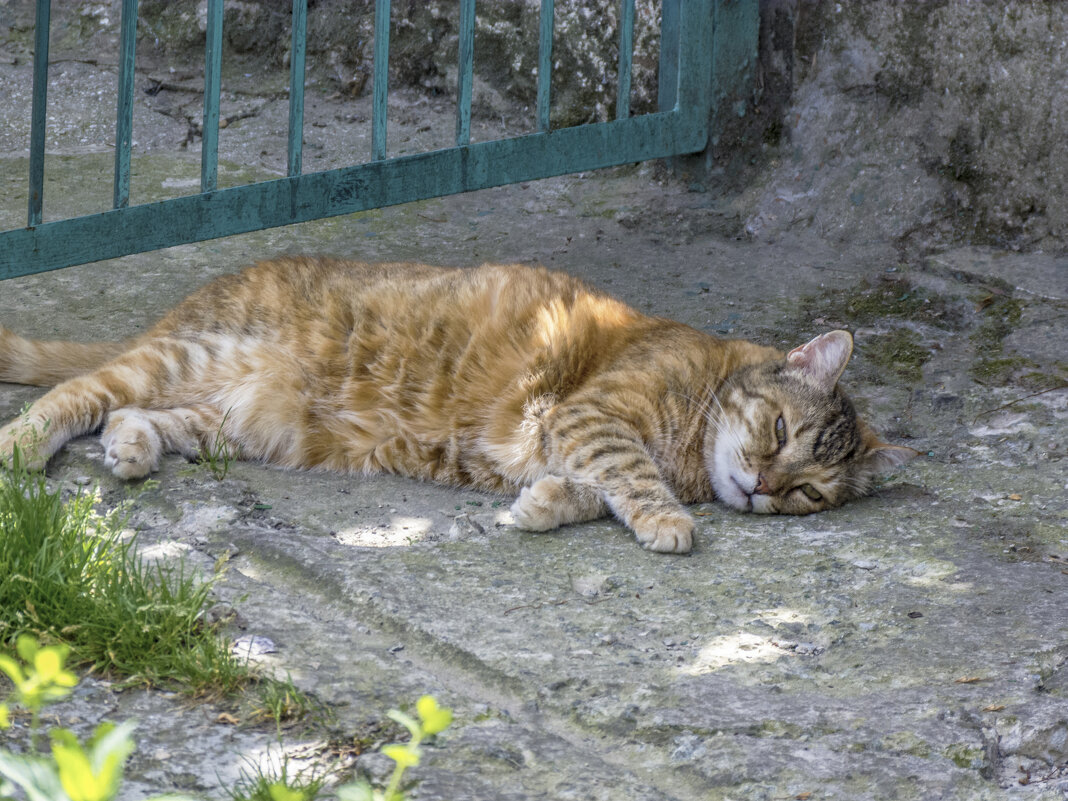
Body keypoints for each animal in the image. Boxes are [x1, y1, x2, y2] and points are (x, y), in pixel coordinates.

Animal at [0, 257, 918, 551]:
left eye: (809, 492)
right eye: (778, 428)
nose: (763, 487)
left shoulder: (569, 437)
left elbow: (593, 487)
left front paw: (545, 504)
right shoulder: (591, 418)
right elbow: (630, 475)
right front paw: (667, 519)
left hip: (240, 421)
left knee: (138, 418)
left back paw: (132, 449)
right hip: (182, 358)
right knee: (75, 394)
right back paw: (22, 447)